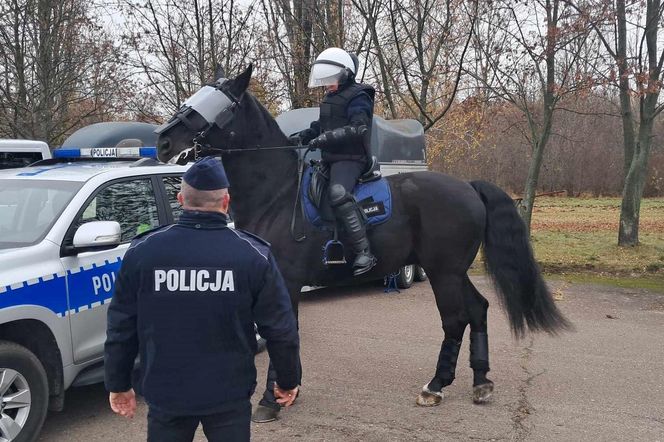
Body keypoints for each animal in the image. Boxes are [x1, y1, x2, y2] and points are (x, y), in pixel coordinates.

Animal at [156, 64, 572, 422]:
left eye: (217, 105)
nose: (163, 142)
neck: (276, 193)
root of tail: (468, 186)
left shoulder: (284, 281)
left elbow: (282, 334)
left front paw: (273, 399)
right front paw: (288, 392)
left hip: (443, 273)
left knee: (456, 319)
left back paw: (436, 386)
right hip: (453, 272)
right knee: (479, 309)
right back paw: (481, 382)